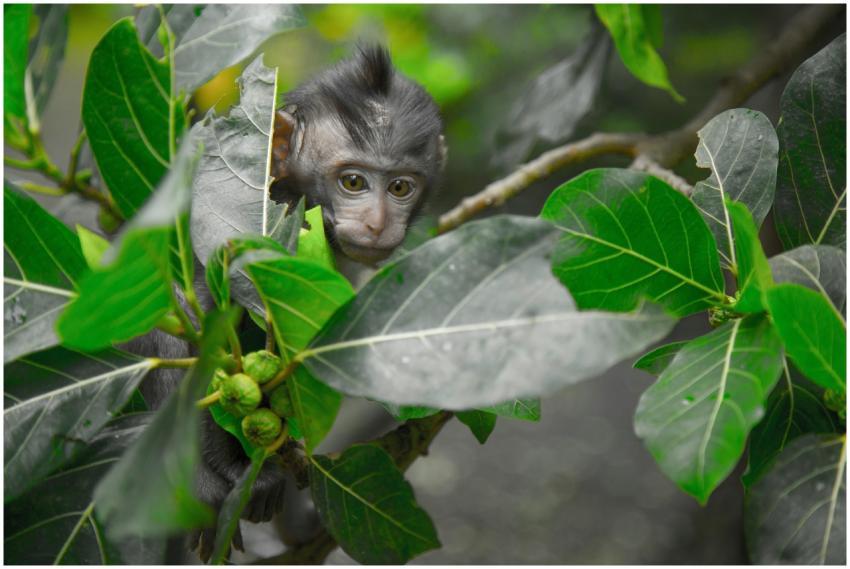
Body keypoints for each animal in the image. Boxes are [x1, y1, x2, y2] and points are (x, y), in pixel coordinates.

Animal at [127, 45, 446, 562]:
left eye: (401, 187)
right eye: (353, 182)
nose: (378, 223)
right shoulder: (236, 239)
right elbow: (192, 330)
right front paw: (219, 477)